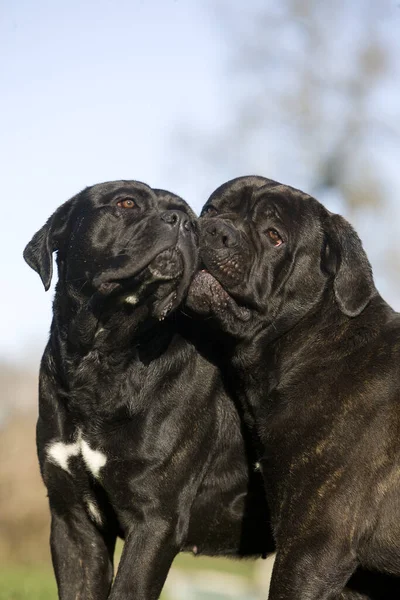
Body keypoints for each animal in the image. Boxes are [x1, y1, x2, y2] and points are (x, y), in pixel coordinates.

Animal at [24, 182, 276, 600]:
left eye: (192, 218)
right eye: (126, 202)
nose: (184, 225)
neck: (104, 360)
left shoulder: (155, 520)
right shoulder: (73, 521)